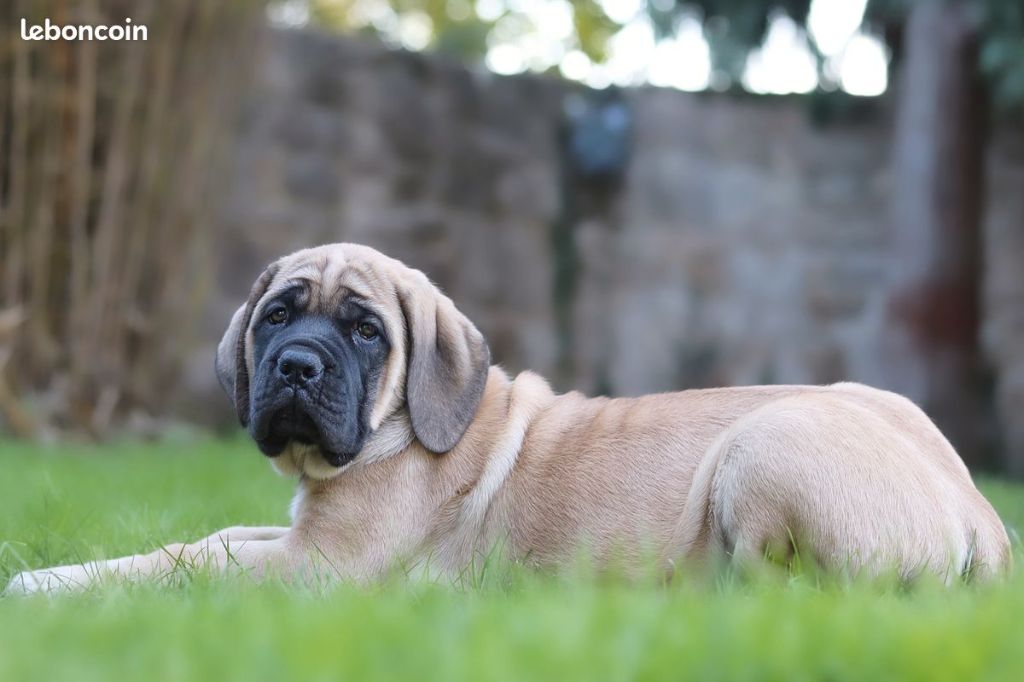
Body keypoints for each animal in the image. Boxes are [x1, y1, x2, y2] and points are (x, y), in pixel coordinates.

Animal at [8, 242, 1011, 589]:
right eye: (279, 317)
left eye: (366, 332)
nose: (294, 366)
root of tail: (983, 519)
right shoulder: (297, 536)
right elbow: (210, 538)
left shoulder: (321, 568)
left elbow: (180, 564)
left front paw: (50, 585)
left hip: (766, 443)